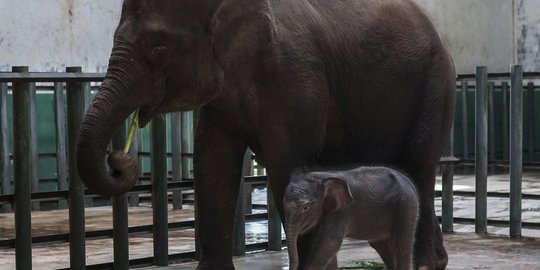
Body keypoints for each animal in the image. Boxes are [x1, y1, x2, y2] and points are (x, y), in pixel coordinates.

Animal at [284, 167, 420, 270]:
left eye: (305, 208)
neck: (320, 178)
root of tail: (408, 181)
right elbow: (325, 246)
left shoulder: (340, 212)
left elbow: (329, 244)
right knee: (383, 247)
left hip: (406, 206)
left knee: (400, 246)